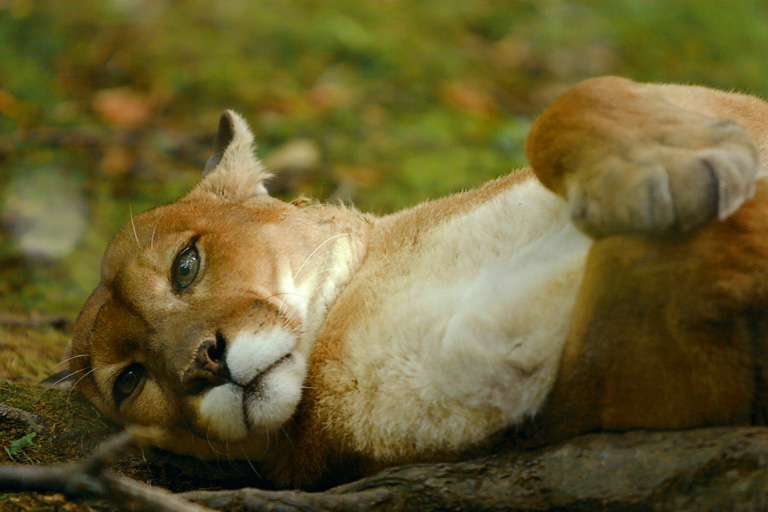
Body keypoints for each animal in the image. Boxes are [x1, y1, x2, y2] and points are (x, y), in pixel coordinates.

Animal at [61, 77, 768, 488]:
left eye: (185, 266)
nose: (202, 364)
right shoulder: (642, 370)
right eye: (130, 381)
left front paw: (670, 167)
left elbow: (574, 100)